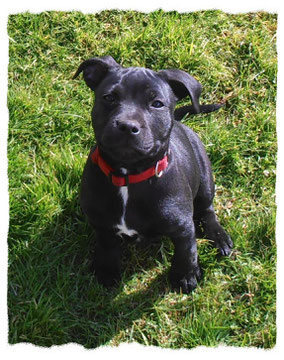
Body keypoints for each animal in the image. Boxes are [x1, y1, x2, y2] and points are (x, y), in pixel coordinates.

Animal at [74, 55, 233, 292]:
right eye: (109, 97)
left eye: (157, 103)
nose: (127, 126)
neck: (128, 175)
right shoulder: (101, 223)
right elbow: (106, 244)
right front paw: (107, 269)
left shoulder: (183, 226)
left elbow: (186, 250)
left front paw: (185, 276)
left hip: (205, 178)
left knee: (206, 209)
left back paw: (219, 237)